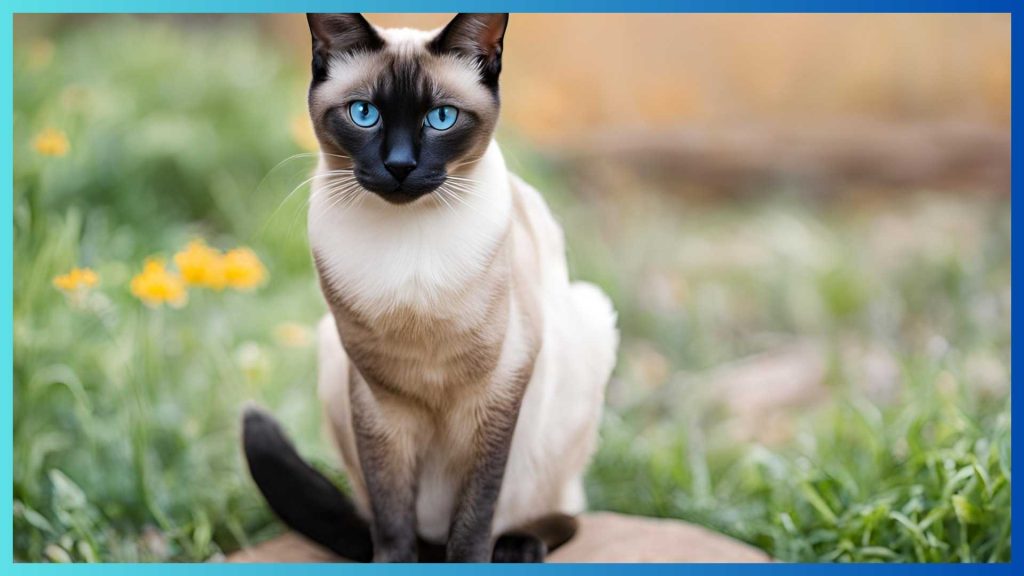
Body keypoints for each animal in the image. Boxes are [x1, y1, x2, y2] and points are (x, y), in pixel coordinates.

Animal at [243, 12, 618, 561]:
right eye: (364, 114)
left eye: (441, 118)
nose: (400, 166)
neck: (411, 266)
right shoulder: (381, 406)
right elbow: (391, 516)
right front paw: (396, 561)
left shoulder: (497, 390)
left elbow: (477, 512)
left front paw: (473, 558)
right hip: (332, 357)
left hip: (587, 327)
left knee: (562, 515)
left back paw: (517, 546)